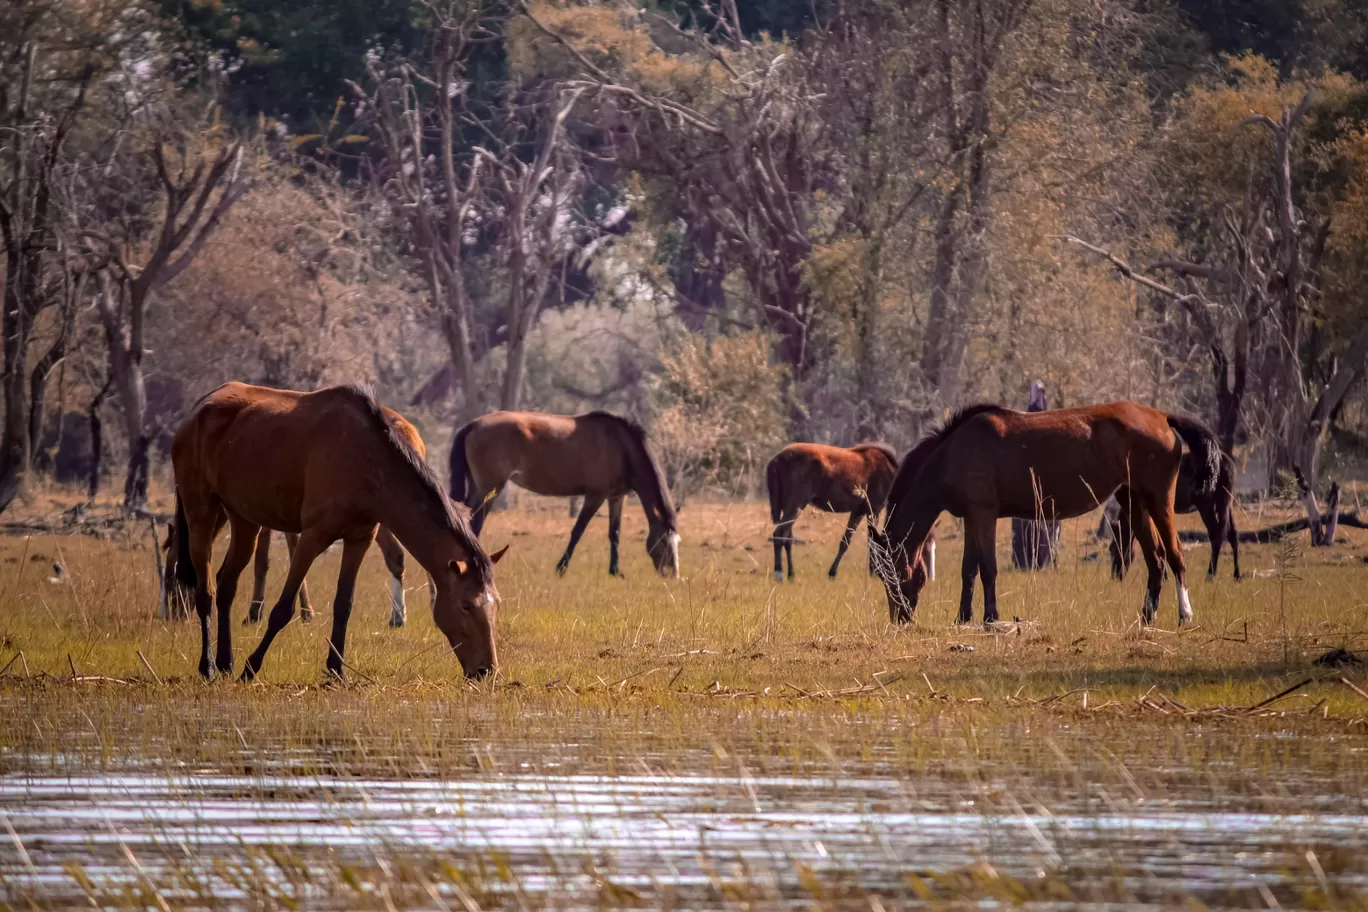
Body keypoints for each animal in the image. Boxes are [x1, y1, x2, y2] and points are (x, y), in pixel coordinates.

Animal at [168, 382, 506, 680]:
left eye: (496, 604)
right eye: (466, 605)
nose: (486, 671)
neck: (366, 458)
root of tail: (198, 408)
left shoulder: (359, 539)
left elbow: (344, 605)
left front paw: (335, 671)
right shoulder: (313, 536)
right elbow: (283, 608)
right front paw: (252, 666)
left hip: (243, 521)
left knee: (226, 585)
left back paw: (225, 662)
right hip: (201, 514)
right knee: (206, 591)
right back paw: (208, 666)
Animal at [451, 412, 681, 577]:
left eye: (677, 541)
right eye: (663, 541)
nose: (673, 574)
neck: (620, 446)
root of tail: (473, 425)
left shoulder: (616, 497)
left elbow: (614, 533)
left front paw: (615, 571)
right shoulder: (595, 496)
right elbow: (577, 531)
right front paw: (561, 568)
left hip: (478, 487)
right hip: (490, 489)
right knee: (474, 523)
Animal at [766, 443, 935, 585]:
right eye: (925, 546)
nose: (929, 576)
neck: (891, 473)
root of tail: (775, 460)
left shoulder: (858, 511)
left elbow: (846, 541)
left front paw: (833, 572)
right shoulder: (874, 509)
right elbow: (873, 542)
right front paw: (874, 574)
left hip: (788, 506)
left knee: (787, 538)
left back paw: (791, 574)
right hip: (796, 504)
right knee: (779, 534)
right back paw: (779, 573)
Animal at [870, 404, 1225, 628]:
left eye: (892, 573)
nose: (900, 619)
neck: (950, 454)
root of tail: (1162, 417)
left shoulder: (984, 514)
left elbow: (987, 568)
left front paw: (990, 617)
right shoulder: (972, 517)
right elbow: (969, 569)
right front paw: (963, 617)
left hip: (1158, 499)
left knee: (1175, 555)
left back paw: (1185, 615)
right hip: (1133, 502)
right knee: (1157, 560)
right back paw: (1147, 618)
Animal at [1110, 451, 1242, 585]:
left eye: (1114, 549)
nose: (1116, 577)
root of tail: (1227, 463)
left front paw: (1165, 577)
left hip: (1207, 505)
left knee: (1217, 535)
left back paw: (1210, 575)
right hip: (1226, 503)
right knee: (1232, 535)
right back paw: (1237, 575)